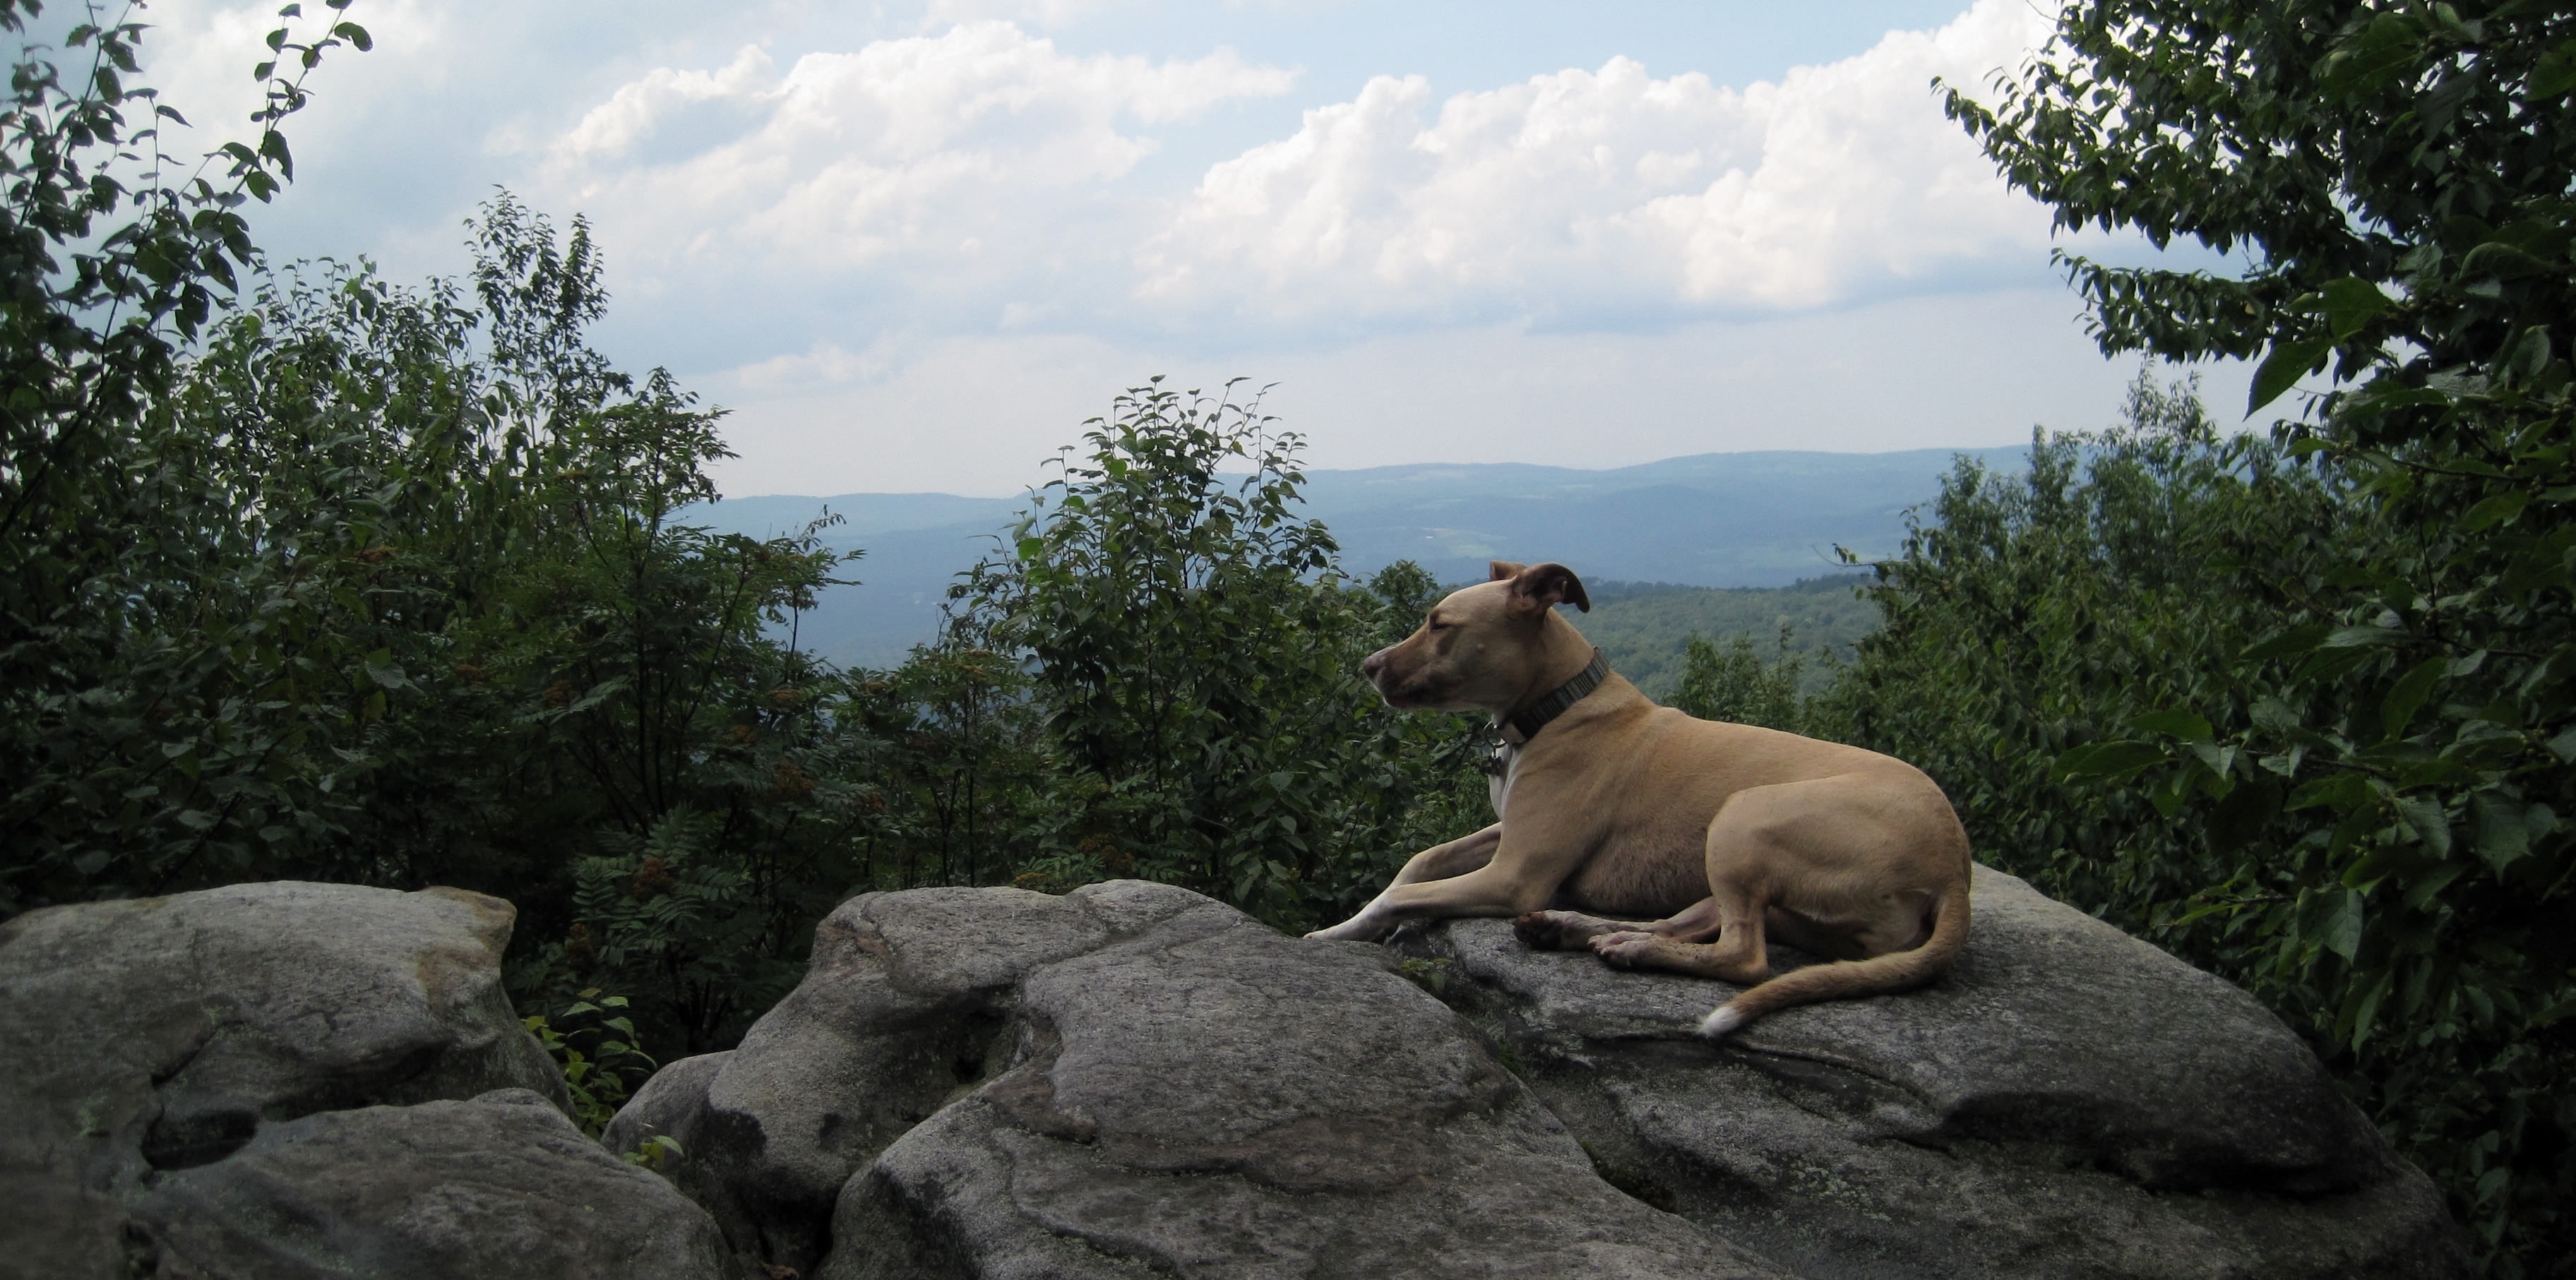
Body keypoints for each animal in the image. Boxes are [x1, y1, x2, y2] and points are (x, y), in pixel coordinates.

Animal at [1308, 558, 1968, 1040]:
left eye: (1440, 624)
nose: (1368, 665)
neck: (1557, 706)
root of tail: (1954, 871)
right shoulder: (1505, 835)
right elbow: (1419, 861)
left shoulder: (1514, 874)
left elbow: (1400, 893)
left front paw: (1339, 930)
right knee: (1686, 922)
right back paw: (1581, 930)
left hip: (1744, 817)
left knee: (1743, 955)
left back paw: (1626, 947)